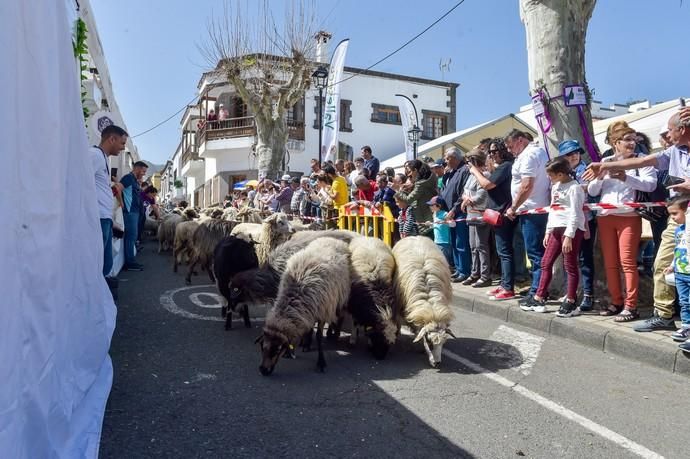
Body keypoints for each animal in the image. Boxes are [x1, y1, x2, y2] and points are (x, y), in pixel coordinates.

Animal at [255, 239, 350, 376]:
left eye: (278, 349)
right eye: (262, 346)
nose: (263, 370)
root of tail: (331, 239)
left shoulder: (323, 311)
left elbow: (319, 336)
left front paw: (321, 362)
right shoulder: (308, 311)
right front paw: (292, 351)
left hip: (340, 297)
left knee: (339, 316)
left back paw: (334, 334)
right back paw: (307, 343)